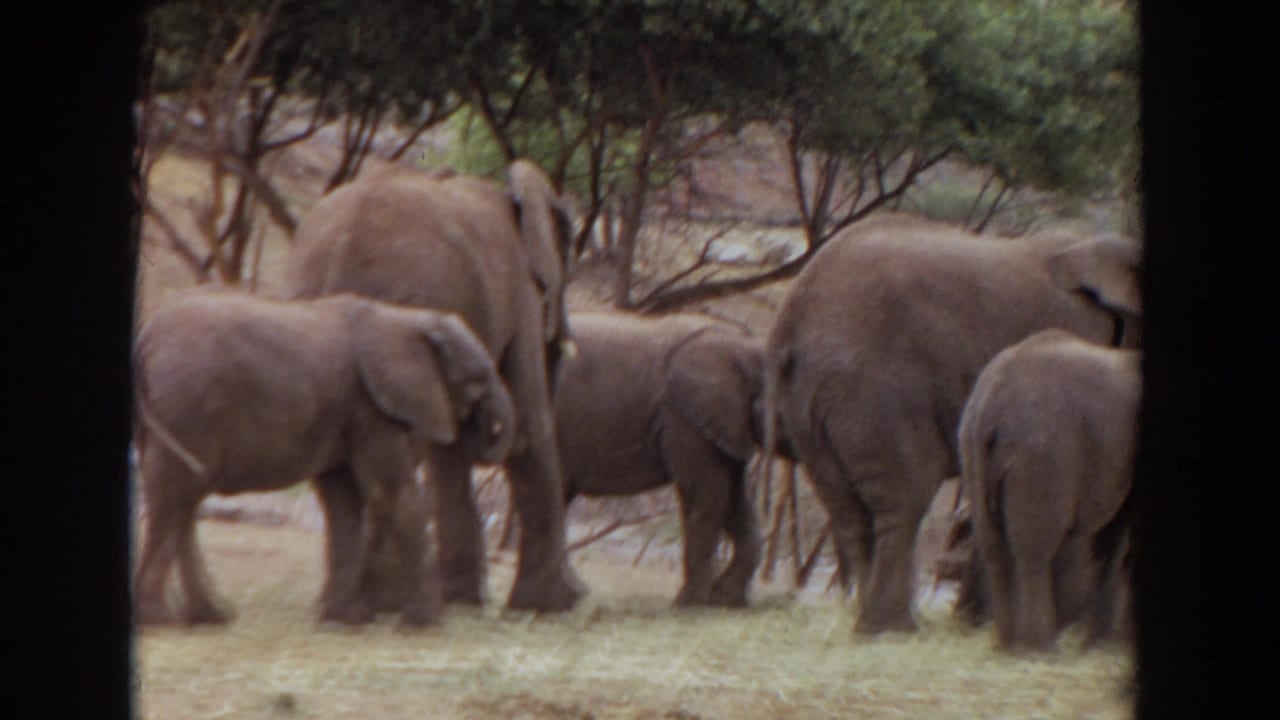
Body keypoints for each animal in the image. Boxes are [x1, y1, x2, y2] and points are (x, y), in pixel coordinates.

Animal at [131, 289, 515, 626]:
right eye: (478, 381)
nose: (488, 433)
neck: (406, 318)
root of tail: (147, 335)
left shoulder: (348, 410)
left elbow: (343, 502)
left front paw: (345, 619)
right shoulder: (372, 409)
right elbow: (394, 496)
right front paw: (427, 624)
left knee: (181, 499)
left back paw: (210, 616)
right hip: (186, 404)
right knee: (173, 496)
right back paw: (160, 618)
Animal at [284, 160, 582, 612]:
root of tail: (340, 250)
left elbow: (452, 446)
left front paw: (463, 599)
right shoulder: (521, 295)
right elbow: (533, 424)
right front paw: (561, 603)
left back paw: (366, 602)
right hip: (409, 295)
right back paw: (387, 602)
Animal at [554, 311, 778, 607]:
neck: (745, 346)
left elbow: (735, 500)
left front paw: (727, 599)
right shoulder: (681, 419)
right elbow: (706, 496)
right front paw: (690, 603)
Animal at [958, 329, 1140, 652]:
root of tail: (992, 399)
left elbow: (1112, 536)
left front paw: (1098, 645)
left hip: (973, 449)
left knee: (994, 543)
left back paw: (1007, 646)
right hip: (1043, 450)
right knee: (1034, 547)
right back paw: (1040, 648)